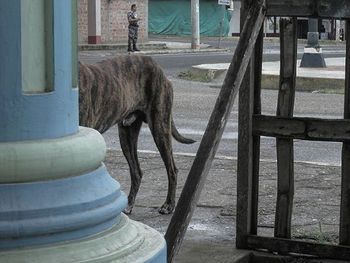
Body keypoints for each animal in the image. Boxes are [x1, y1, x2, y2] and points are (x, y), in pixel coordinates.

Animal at [78, 55, 196, 214]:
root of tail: (159, 69)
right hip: (127, 135)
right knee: (137, 172)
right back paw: (129, 205)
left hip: (160, 128)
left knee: (172, 170)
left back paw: (168, 205)